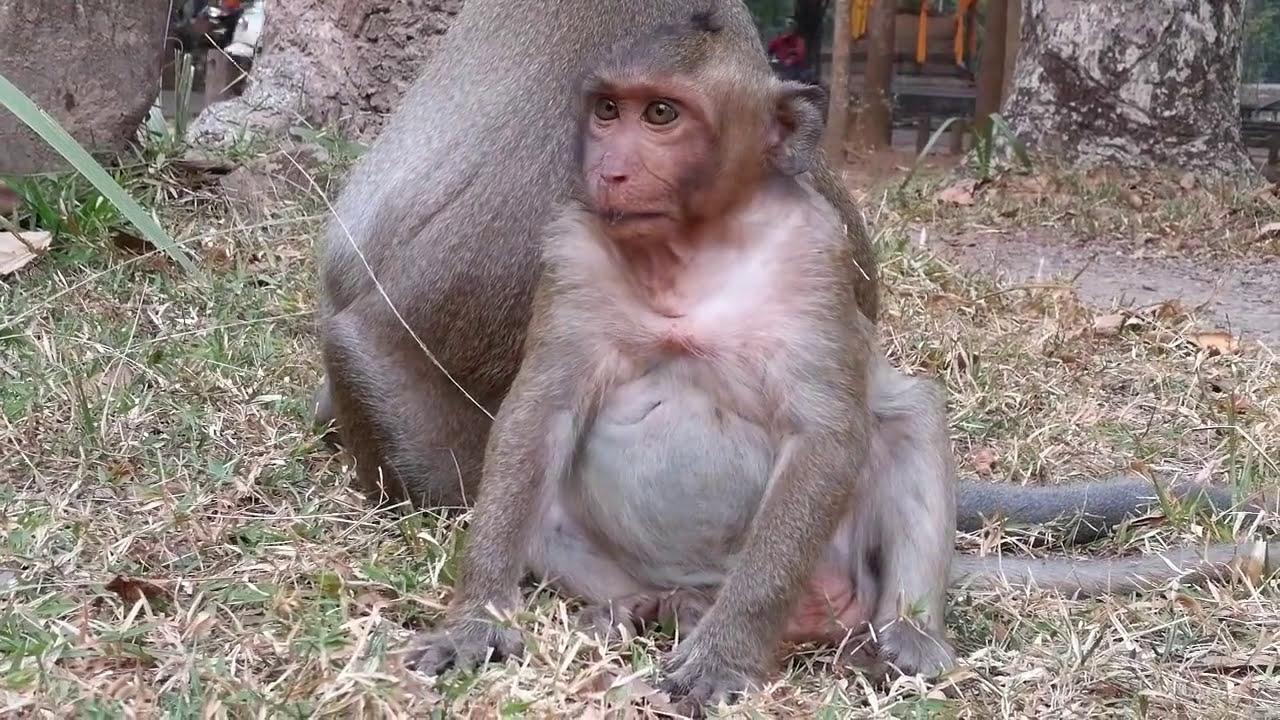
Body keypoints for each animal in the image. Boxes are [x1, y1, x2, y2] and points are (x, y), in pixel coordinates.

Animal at [397, 14, 1278, 715]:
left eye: (662, 113)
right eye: (608, 110)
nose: (609, 167)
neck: (690, 248)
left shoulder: (818, 253)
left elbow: (828, 433)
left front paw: (726, 656)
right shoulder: (571, 247)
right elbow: (538, 415)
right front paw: (477, 621)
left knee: (906, 418)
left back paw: (902, 633)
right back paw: (634, 610)